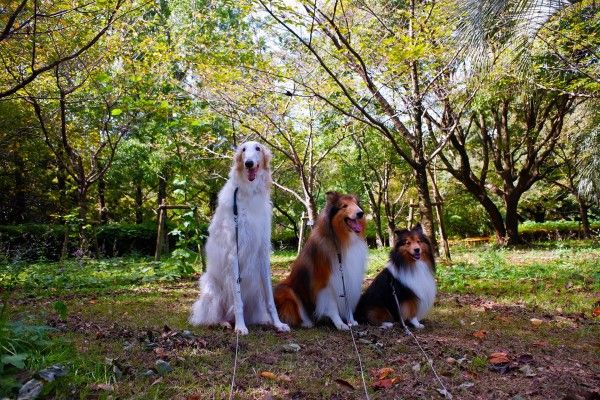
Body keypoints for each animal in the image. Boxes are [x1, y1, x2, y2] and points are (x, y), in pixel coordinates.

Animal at [189, 141, 290, 334]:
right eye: (243, 149)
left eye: (258, 148)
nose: (249, 163)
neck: (249, 193)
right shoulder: (233, 253)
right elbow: (238, 300)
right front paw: (241, 327)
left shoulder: (262, 253)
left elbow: (270, 299)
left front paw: (278, 323)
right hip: (212, 288)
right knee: (213, 315)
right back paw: (225, 322)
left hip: (255, 287)